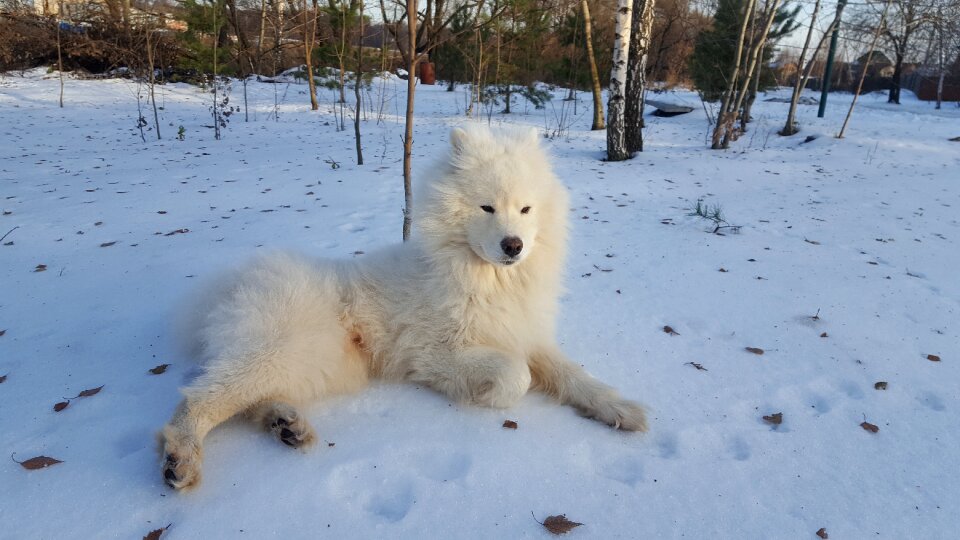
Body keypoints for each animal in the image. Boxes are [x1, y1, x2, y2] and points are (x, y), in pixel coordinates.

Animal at [161, 125, 648, 490]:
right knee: (200, 397)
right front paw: (484, 394)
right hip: (285, 349)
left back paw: (286, 424)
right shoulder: (436, 352)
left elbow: (575, 376)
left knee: (246, 398)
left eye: (526, 209)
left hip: (317, 364)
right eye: (487, 208)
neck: (488, 281)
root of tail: (227, 286)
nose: (514, 245)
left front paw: (620, 409)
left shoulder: (526, 335)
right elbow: (516, 376)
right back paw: (180, 457)